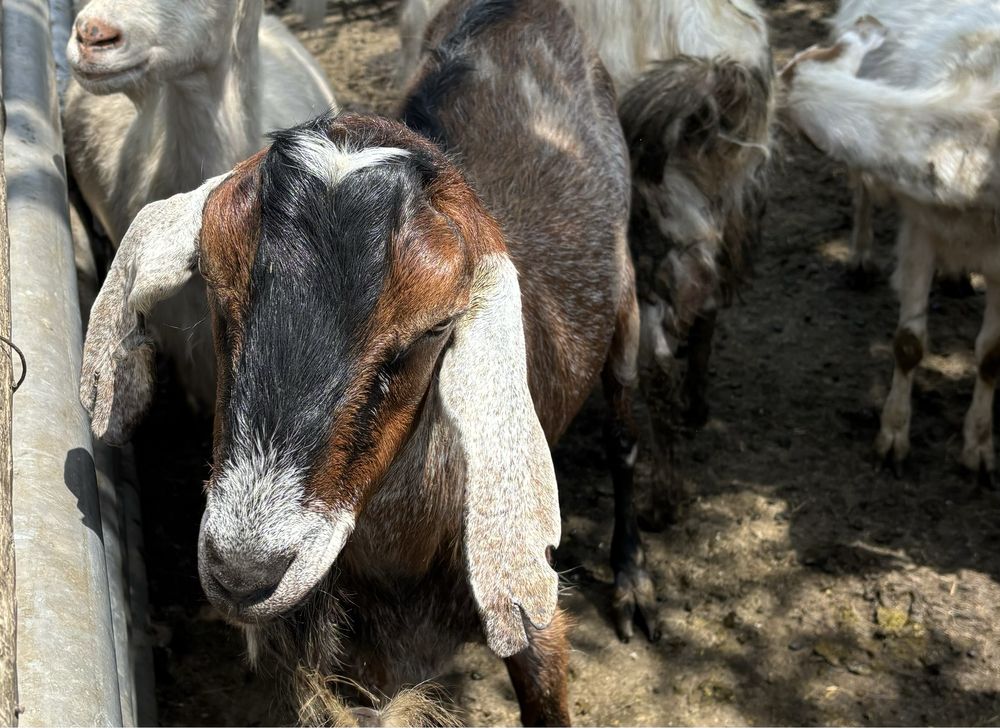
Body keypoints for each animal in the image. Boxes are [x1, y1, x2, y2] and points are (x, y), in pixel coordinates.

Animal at [780, 8, 1000, 478]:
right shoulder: (918, 227)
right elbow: (909, 344)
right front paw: (892, 439)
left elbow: (992, 355)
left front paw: (978, 450)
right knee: (862, 189)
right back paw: (861, 262)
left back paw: (955, 277)